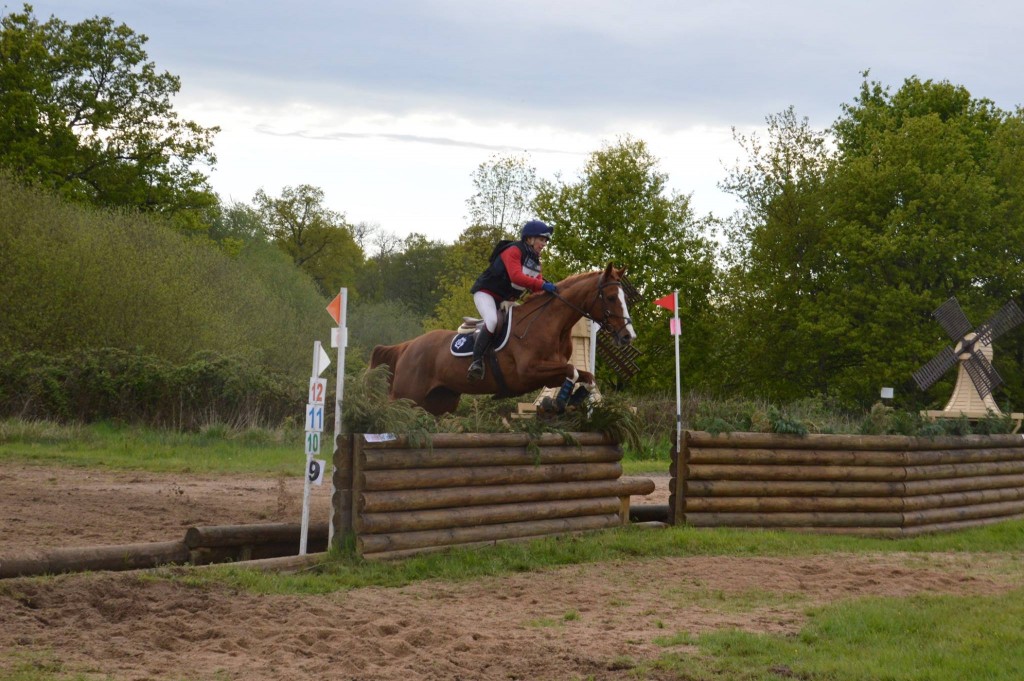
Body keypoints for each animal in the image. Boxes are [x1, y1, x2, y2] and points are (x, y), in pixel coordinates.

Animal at [372, 262, 634, 413]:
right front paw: (559, 402)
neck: (551, 324)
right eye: (611, 297)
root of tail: (407, 346)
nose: (628, 336)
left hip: (439, 400)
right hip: (407, 395)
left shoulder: (549, 375)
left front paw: (574, 399)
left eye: (625, 298)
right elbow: (573, 370)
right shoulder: (528, 372)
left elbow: (585, 376)